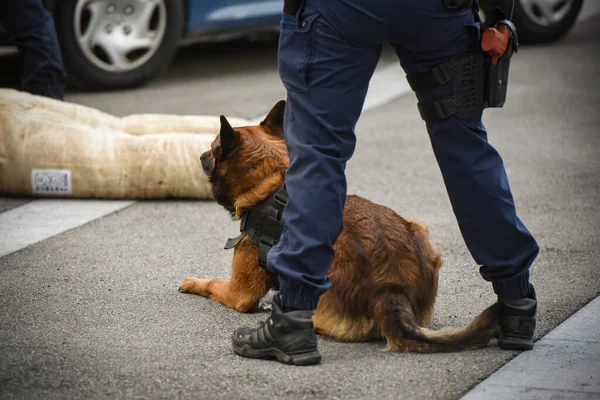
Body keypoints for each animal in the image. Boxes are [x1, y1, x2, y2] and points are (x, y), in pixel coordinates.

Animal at [180, 101, 500, 354]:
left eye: (213, 148)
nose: (200, 156)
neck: (271, 183)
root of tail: (392, 289)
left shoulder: (238, 294)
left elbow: (212, 283)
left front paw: (193, 282)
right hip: (420, 230)